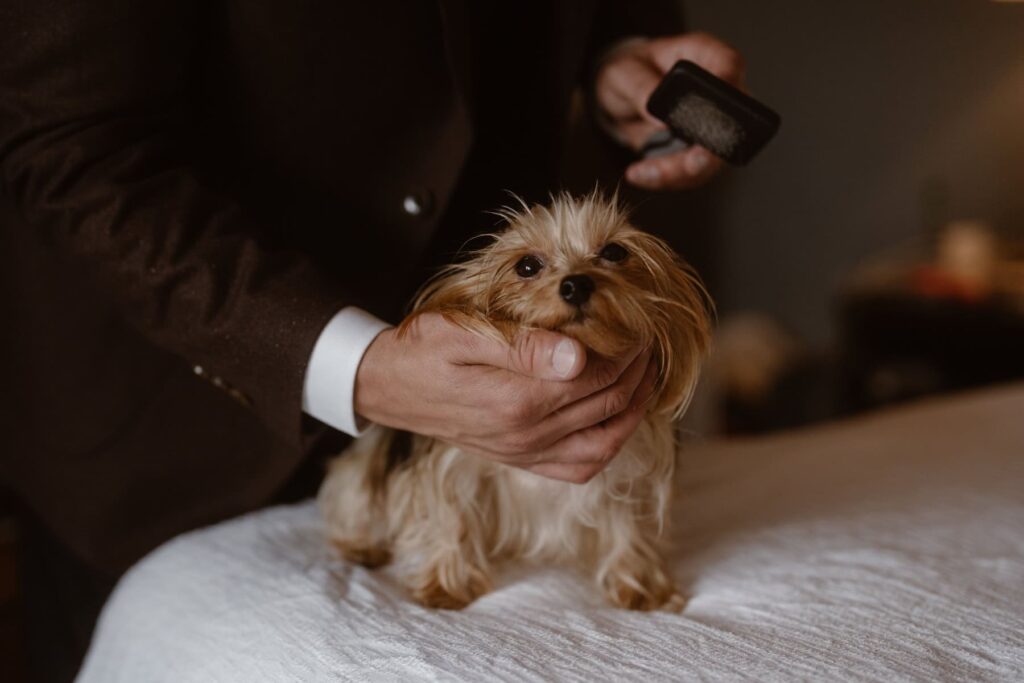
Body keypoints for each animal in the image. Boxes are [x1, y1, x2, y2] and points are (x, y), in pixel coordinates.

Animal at [321, 193, 712, 614]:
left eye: (614, 252)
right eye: (527, 265)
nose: (576, 284)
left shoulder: (630, 468)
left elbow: (631, 523)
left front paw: (641, 586)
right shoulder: (455, 458)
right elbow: (450, 515)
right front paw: (446, 583)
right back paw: (361, 547)